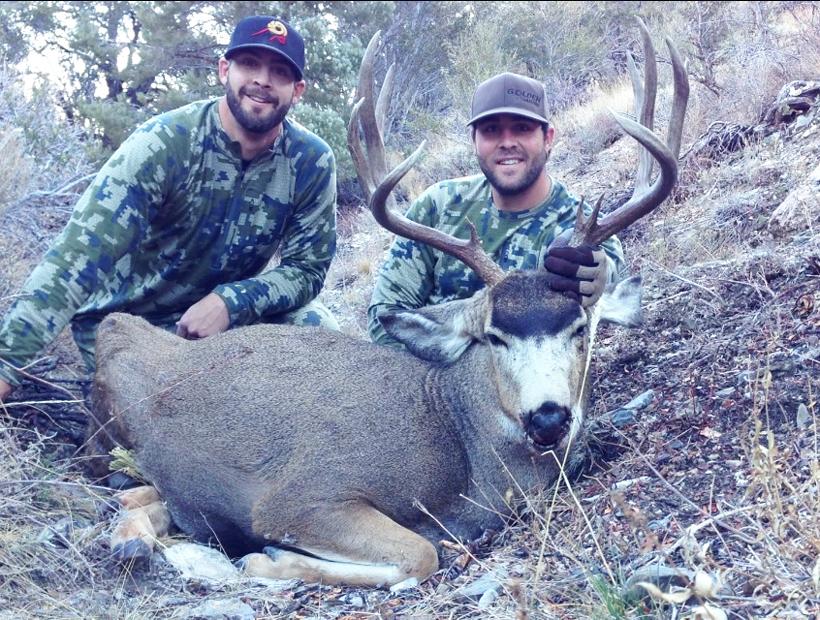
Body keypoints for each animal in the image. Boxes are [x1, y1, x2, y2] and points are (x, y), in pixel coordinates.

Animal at [86, 21, 688, 588]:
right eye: (493, 336)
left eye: (580, 329)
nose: (548, 416)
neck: (458, 445)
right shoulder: (302, 494)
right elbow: (421, 552)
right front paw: (267, 559)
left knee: (143, 502)